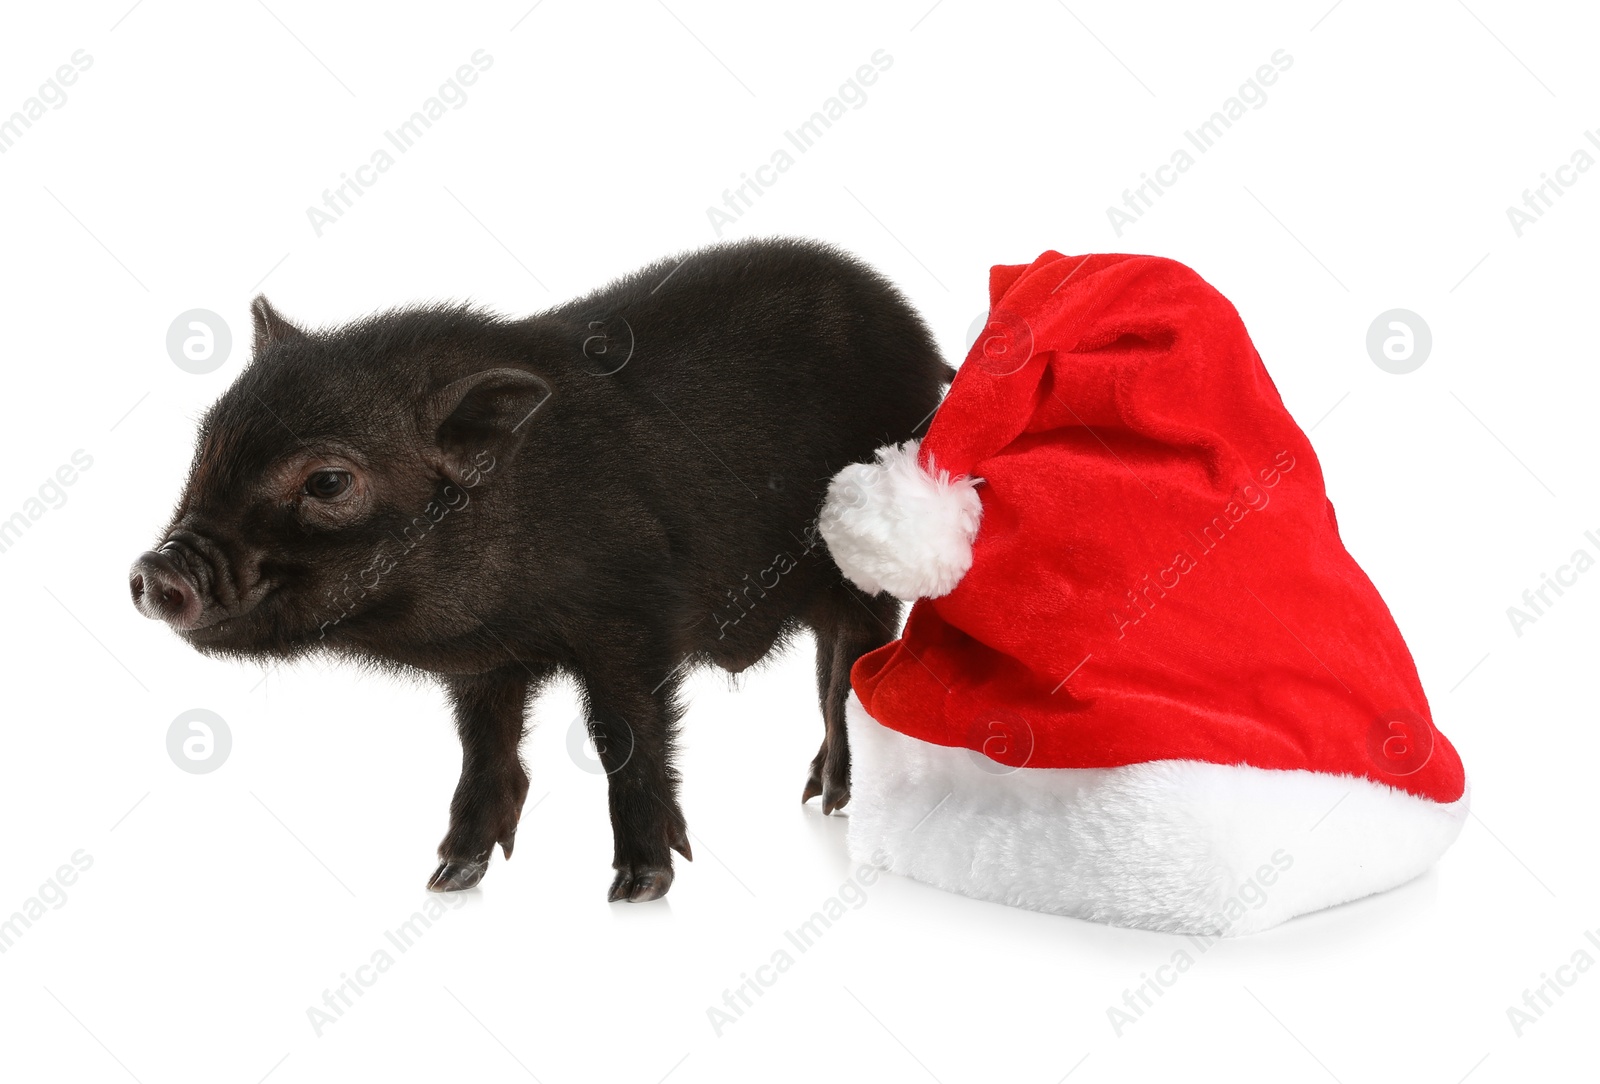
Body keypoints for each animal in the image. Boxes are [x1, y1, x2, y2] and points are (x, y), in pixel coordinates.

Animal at [131, 241, 947, 901]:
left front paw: (639, 887)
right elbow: (485, 746)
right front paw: (449, 876)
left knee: (850, 665)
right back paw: (814, 794)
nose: (154, 572)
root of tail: (921, 339)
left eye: (329, 483)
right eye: (207, 446)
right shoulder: (487, 662)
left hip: (868, 570)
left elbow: (626, 737)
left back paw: (837, 799)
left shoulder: (632, 621)